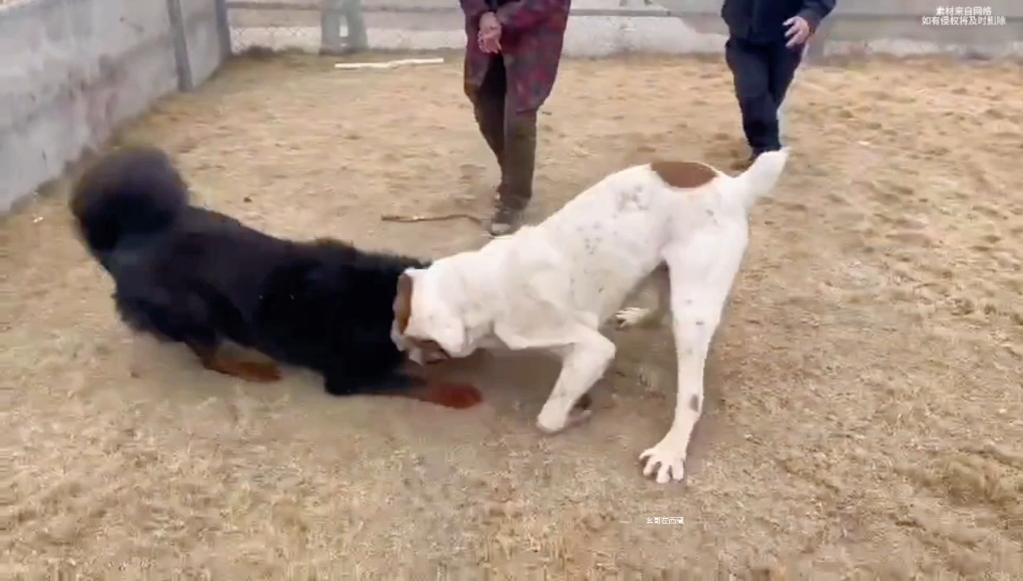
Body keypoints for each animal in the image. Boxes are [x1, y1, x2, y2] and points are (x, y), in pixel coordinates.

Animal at [72, 144, 478, 409]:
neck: (382, 300)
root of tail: (121, 241)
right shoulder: (348, 377)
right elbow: (414, 382)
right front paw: (458, 392)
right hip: (193, 309)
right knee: (209, 357)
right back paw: (253, 368)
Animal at [390, 148, 789, 480]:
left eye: (419, 338)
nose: (401, 349)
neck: (482, 286)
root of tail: (735, 188)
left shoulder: (591, 349)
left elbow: (549, 417)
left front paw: (577, 413)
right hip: (661, 268)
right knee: (662, 305)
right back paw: (640, 318)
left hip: (694, 312)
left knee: (691, 398)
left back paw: (670, 451)